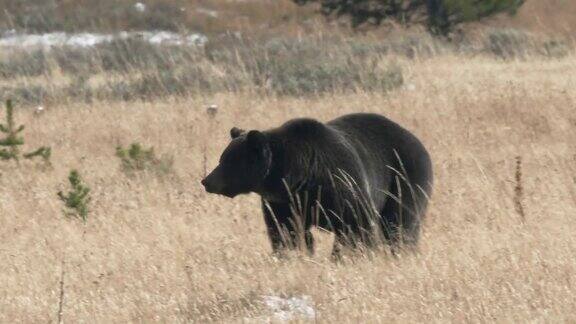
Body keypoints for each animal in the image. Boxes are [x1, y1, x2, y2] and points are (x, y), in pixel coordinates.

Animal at [202, 112, 432, 256]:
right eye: (222, 158)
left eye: (228, 161)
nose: (207, 181)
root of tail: (418, 141)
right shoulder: (283, 202)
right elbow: (286, 231)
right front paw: (292, 253)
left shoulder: (340, 183)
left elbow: (355, 225)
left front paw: (347, 255)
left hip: (404, 177)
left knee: (400, 221)